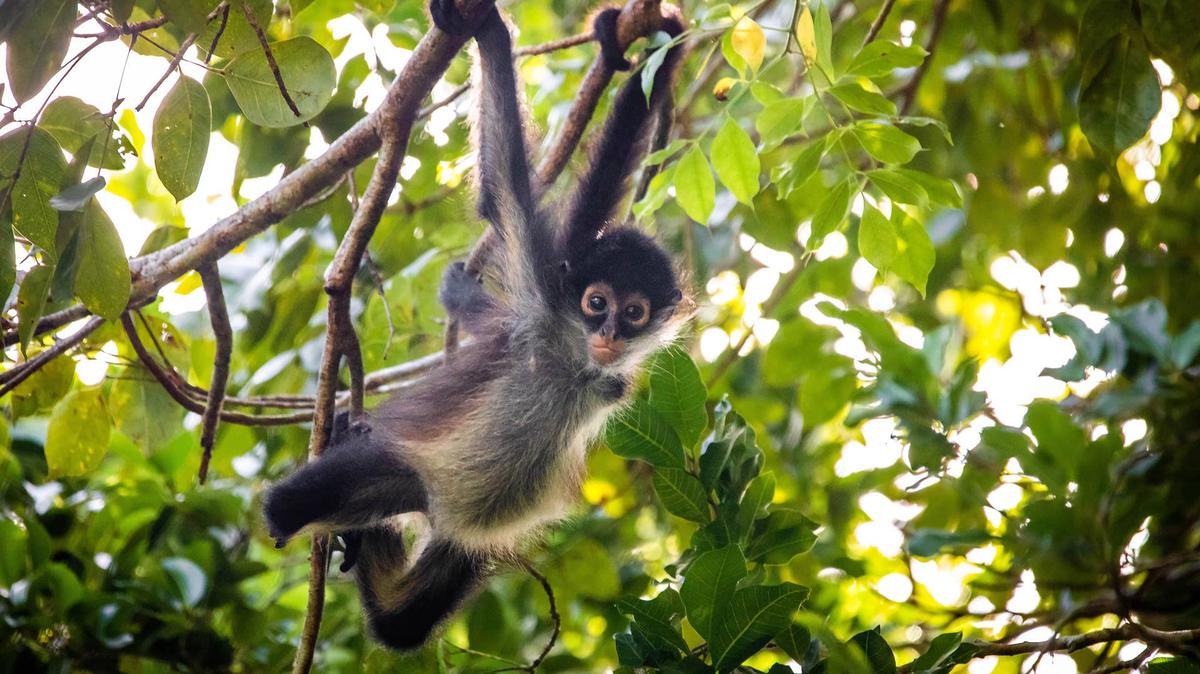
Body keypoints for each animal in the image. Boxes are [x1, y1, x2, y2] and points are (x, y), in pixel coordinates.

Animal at [262, 1, 690, 651]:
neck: (576, 364)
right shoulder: (543, 299)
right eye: (597, 303)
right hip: (404, 469)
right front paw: (487, 31)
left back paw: (370, 543)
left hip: (452, 534)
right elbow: (502, 187)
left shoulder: (601, 367)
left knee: (402, 623)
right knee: (285, 508)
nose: (611, 333)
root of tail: (428, 505)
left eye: (635, 312)